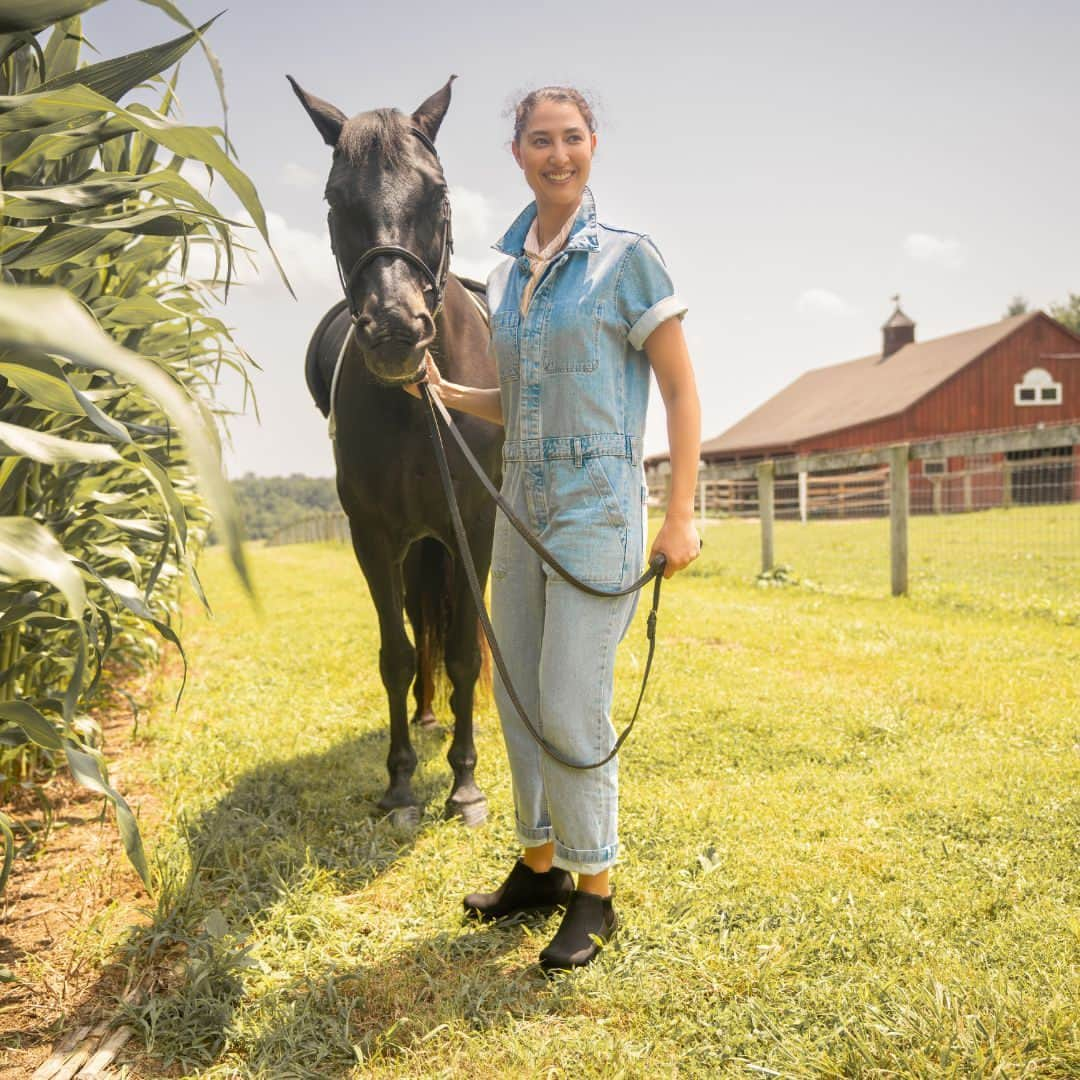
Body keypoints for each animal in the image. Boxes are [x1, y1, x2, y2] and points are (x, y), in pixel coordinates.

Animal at [289, 76, 503, 825]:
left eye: (437, 194)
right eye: (334, 200)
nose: (394, 330)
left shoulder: (473, 527)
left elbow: (465, 650)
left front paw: (465, 784)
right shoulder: (375, 536)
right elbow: (397, 654)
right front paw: (402, 784)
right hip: (415, 547)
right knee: (417, 624)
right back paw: (426, 715)